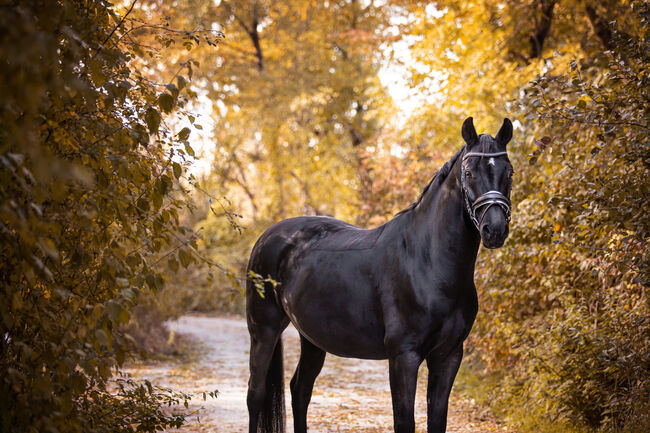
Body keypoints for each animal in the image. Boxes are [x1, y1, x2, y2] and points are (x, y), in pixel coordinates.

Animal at [246, 117, 512, 432]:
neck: (429, 263)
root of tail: (268, 237)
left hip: (311, 338)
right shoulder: (403, 356)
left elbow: (437, 420)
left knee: (300, 390)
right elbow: (404, 421)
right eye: (469, 172)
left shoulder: (448, 356)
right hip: (263, 330)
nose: (495, 229)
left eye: (508, 172)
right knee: (256, 394)